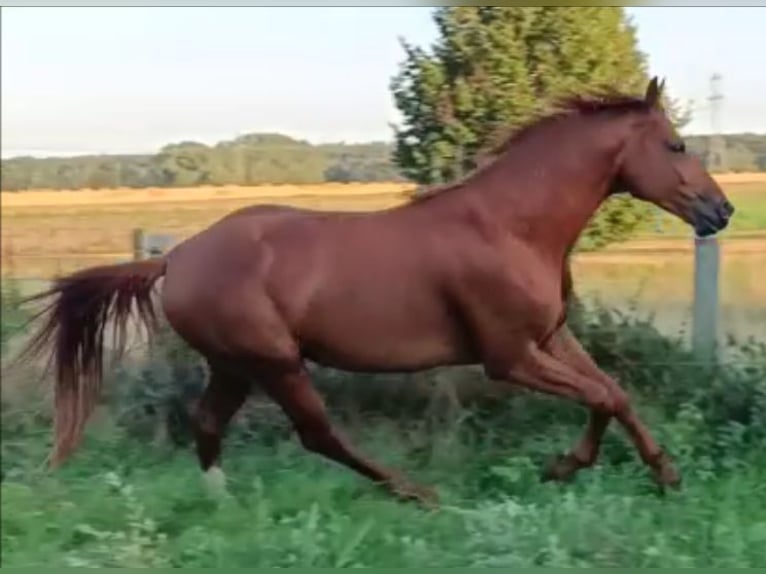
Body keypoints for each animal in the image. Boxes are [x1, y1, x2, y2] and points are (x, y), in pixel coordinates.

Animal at [21, 79, 736, 506]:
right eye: (675, 144)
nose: (722, 210)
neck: (510, 225)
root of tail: (175, 258)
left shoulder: (552, 336)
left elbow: (614, 392)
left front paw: (663, 473)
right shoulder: (509, 356)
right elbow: (601, 396)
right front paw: (564, 467)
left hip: (235, 365)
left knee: (208, 424)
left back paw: (223, 502)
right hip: (275, 361)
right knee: (318, 435)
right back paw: (417, 494)